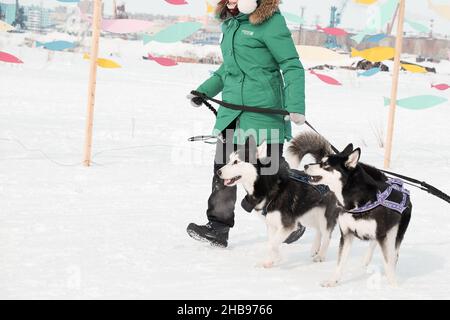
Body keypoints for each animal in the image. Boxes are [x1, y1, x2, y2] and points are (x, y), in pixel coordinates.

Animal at [218, 134, 342, 268]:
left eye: (236, 162)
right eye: (229, 159)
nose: (218, 172)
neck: (266, 185)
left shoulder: (288, 225)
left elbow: (271, 244)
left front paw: (273, 259)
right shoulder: (272, 224)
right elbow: (273, 243)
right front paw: (272, 260)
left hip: (325, 216)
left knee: (326, 234)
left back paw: (320, 255)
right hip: (308, 214)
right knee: (319, 230)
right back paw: (315, 248)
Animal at [304, 140, 414, 288]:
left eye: (325, 165)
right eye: (320, 161)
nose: (305, 166)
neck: (357, 202)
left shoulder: (381, 234)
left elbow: (388, 261)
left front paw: (393, 286)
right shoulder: (346, 235)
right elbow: (340, 262)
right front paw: (332, 281)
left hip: (395, 233)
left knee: (393, 254)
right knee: (375, 244)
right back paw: (366, 260)